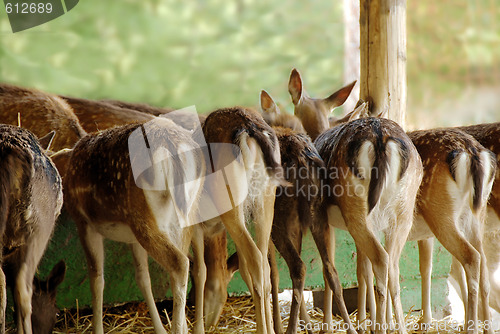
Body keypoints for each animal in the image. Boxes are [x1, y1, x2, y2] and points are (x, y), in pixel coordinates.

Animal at [64, 118, 205, 334]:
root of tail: (172, 147)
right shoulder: (132, 238)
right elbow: (142, 278)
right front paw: (159, 329)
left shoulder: (84, 222)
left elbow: (96, 279)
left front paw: (97, 329)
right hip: (185, 215)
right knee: (189, 264)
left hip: (145, 218)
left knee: (180, 263)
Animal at [290, 69, 426, 332]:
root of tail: (380, 138)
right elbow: (362, 269)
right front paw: (364, 320)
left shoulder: (326, 220)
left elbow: (330, 271)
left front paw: (331, 325)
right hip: (402, 212)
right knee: (392, 266)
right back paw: (397, 326)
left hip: (357, 210)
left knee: (381, 260)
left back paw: (381, 326)